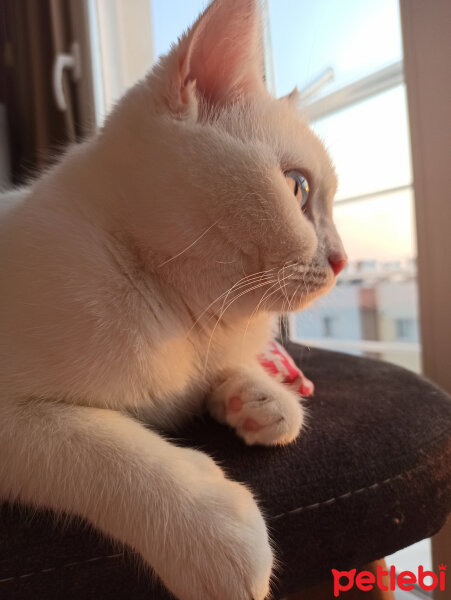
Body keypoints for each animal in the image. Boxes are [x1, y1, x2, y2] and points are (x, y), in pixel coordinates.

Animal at [0, 1, 346, 600]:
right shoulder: (14, 421)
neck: (184, 320)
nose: (343, 258)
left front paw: (258, 397)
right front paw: (213, 532)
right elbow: (99, 447)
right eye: (299, 188)